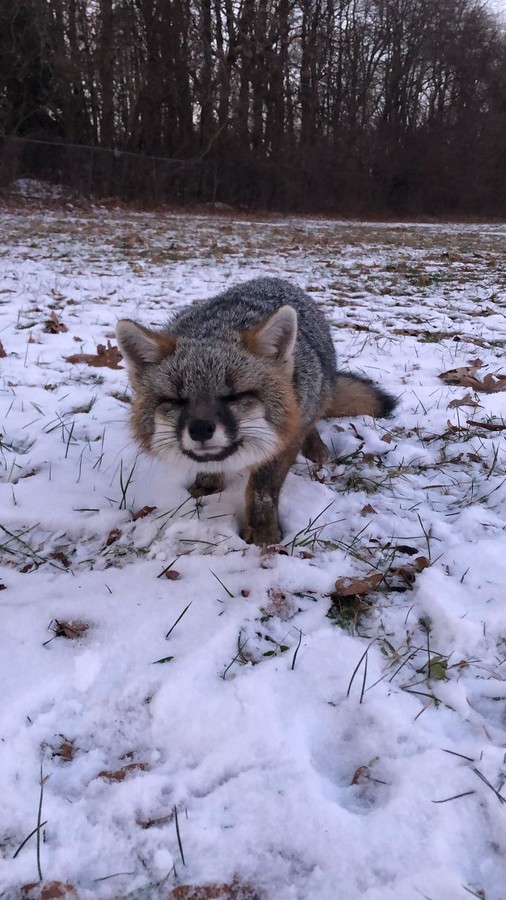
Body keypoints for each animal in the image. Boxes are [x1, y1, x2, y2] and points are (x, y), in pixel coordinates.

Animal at [115, 276, 396, 540]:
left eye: (235, 395)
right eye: (176, 400)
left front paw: (263, 532)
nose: (201, 429)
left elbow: (263, 489)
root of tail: (273, 279)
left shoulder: (283, 442)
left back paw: (315, 447)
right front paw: (205, 489)